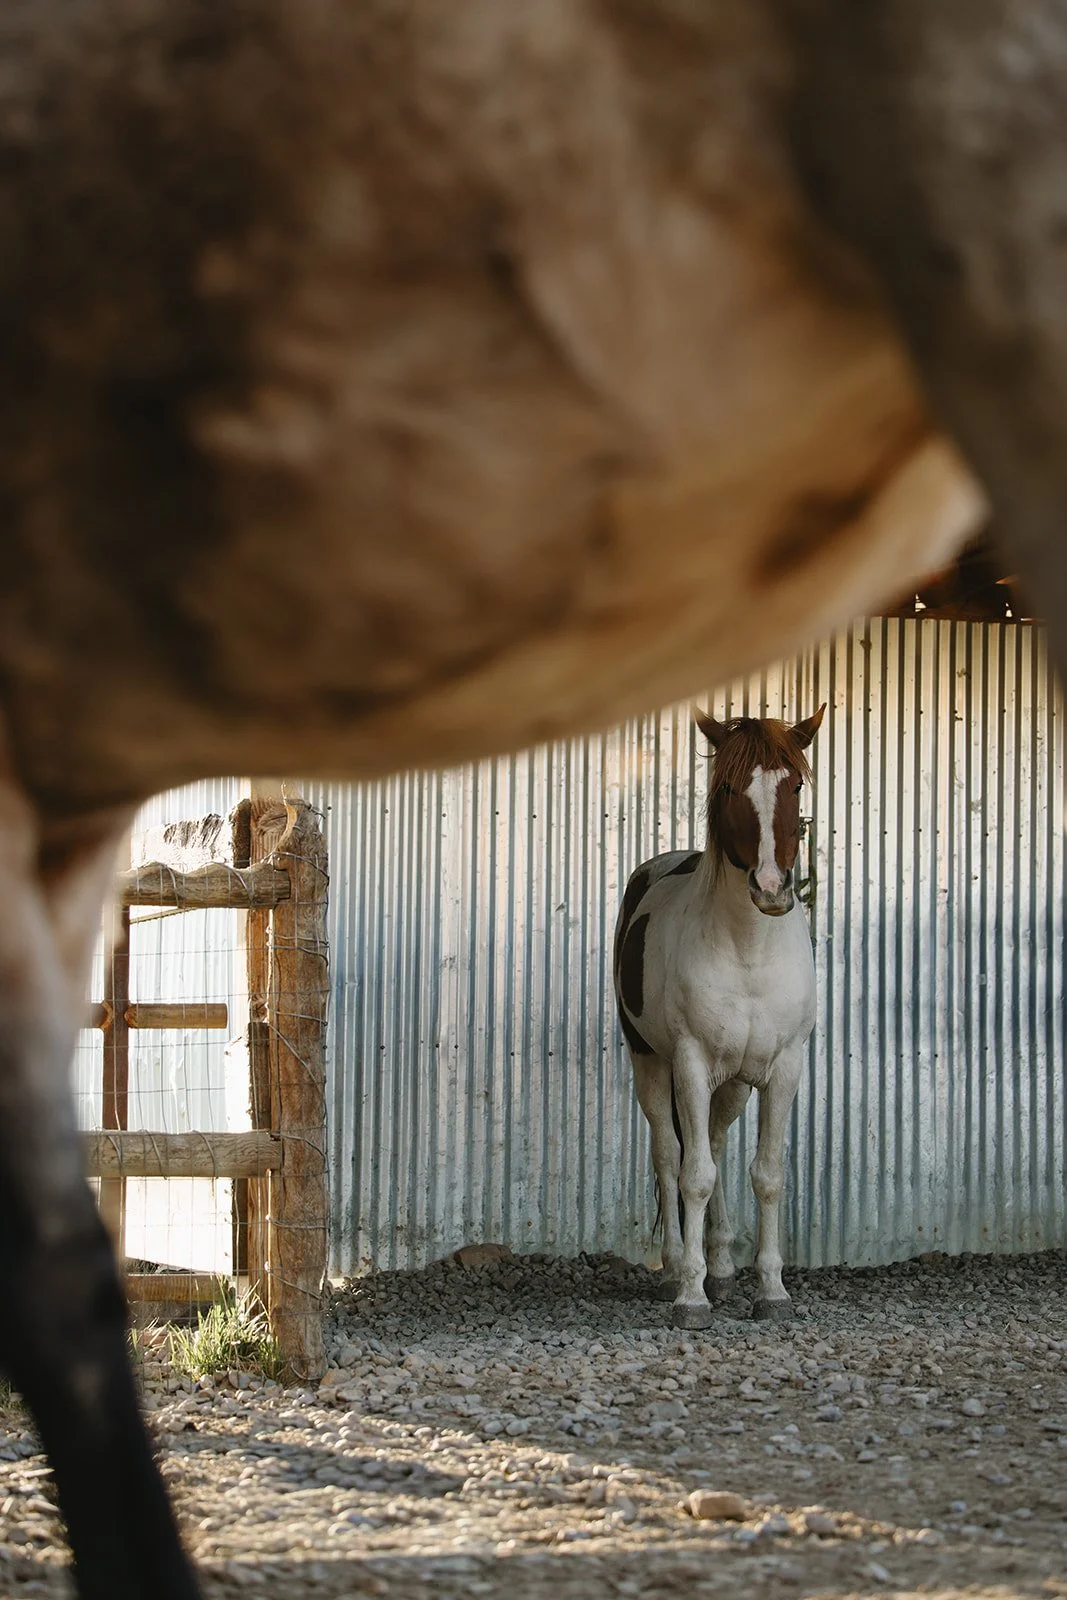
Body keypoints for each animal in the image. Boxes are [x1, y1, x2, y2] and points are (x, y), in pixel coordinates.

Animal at [614, 709, 824, 1329]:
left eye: (794, 785)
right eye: (729, 787)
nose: (772, 888)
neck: (749, 948)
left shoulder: (784, 1067)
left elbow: (767, 1173)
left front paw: (770, 1290)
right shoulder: (689, 1062)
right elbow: (694, 1175)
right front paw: (691, 1295)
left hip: (732, 1083)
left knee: (715, 1138)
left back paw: (724, 1268)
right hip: (650, 1062)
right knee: (669, 1153)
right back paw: (674, 1269)